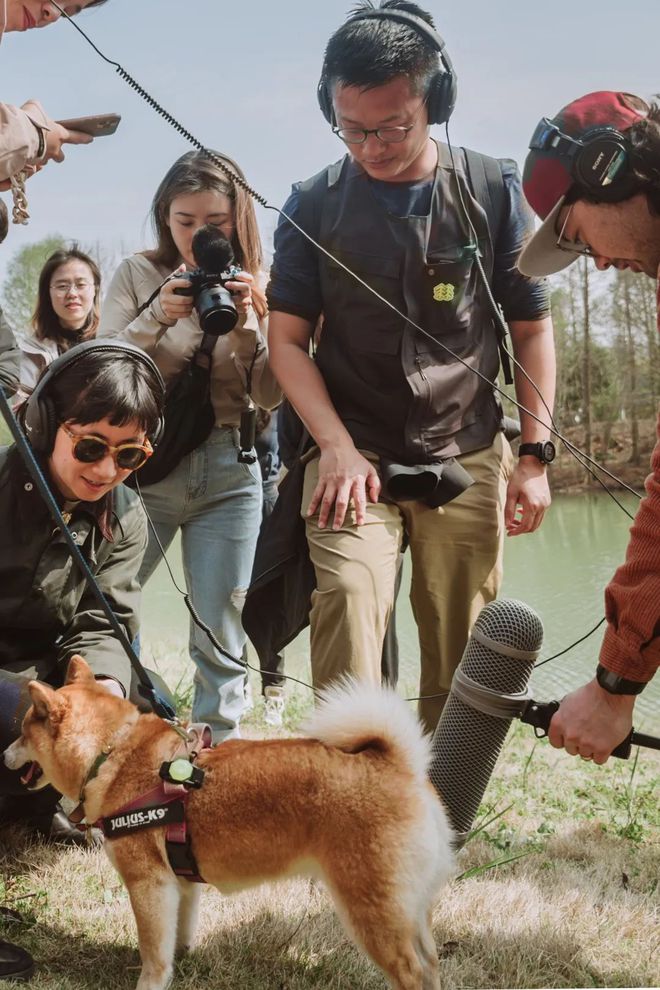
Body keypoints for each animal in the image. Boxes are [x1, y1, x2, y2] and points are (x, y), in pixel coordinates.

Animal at [3, 660, 454, 990]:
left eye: (22, 731)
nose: (4, 754)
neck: (112, 754)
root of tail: (400, 766)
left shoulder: (148, 883)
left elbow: (152, 950)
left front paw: (150, 981)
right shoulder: (180, 884)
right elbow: (174, 936)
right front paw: (180, 960)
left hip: (372, 913)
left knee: (412, 972)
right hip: (409, 910)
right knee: (431, 964)